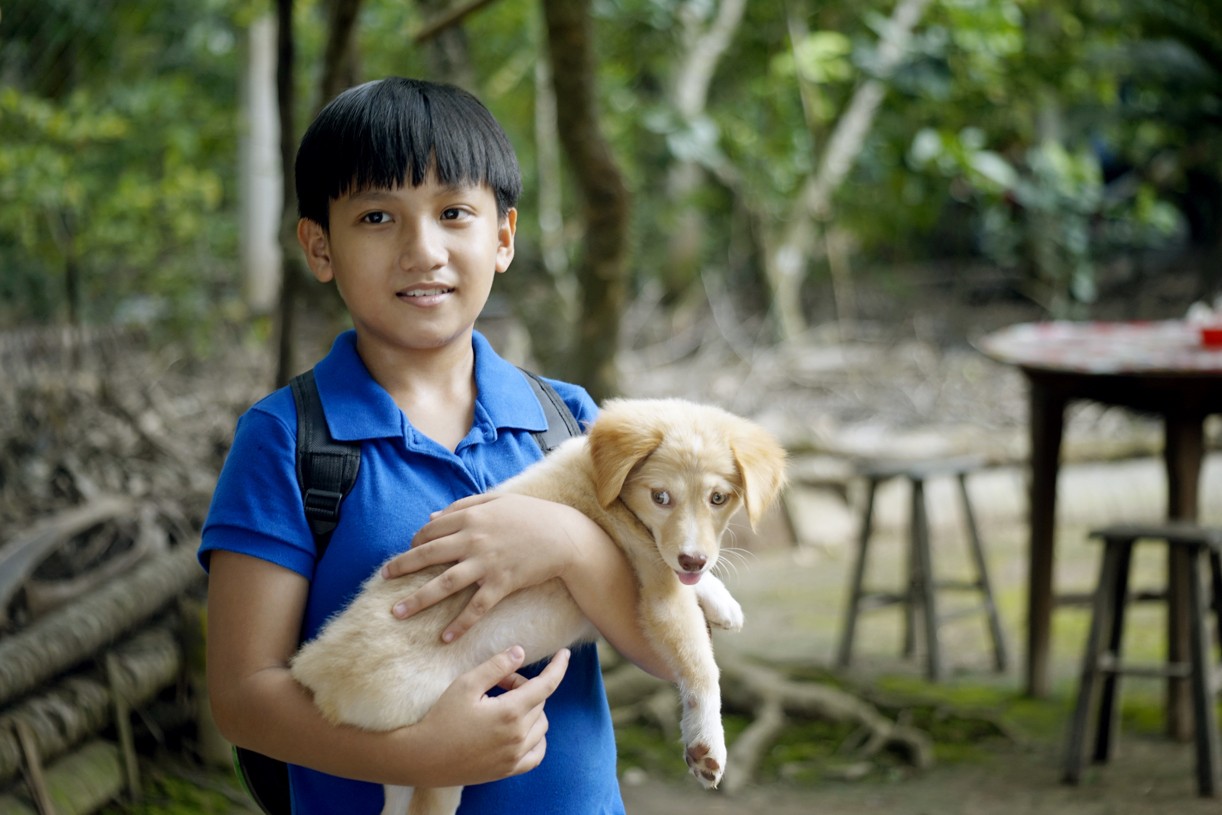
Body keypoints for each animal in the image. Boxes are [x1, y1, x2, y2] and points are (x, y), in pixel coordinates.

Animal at [295, 395, 791, 815]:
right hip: (439, 756)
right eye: (661, 497)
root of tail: (311, 668)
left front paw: (721, 601)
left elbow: (693, 583)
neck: (602, 481)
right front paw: (707, 745)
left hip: (401, 767)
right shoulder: (659, 593)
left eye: (718, 499)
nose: (693, 558)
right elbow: (701, 667)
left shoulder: (668, 565)